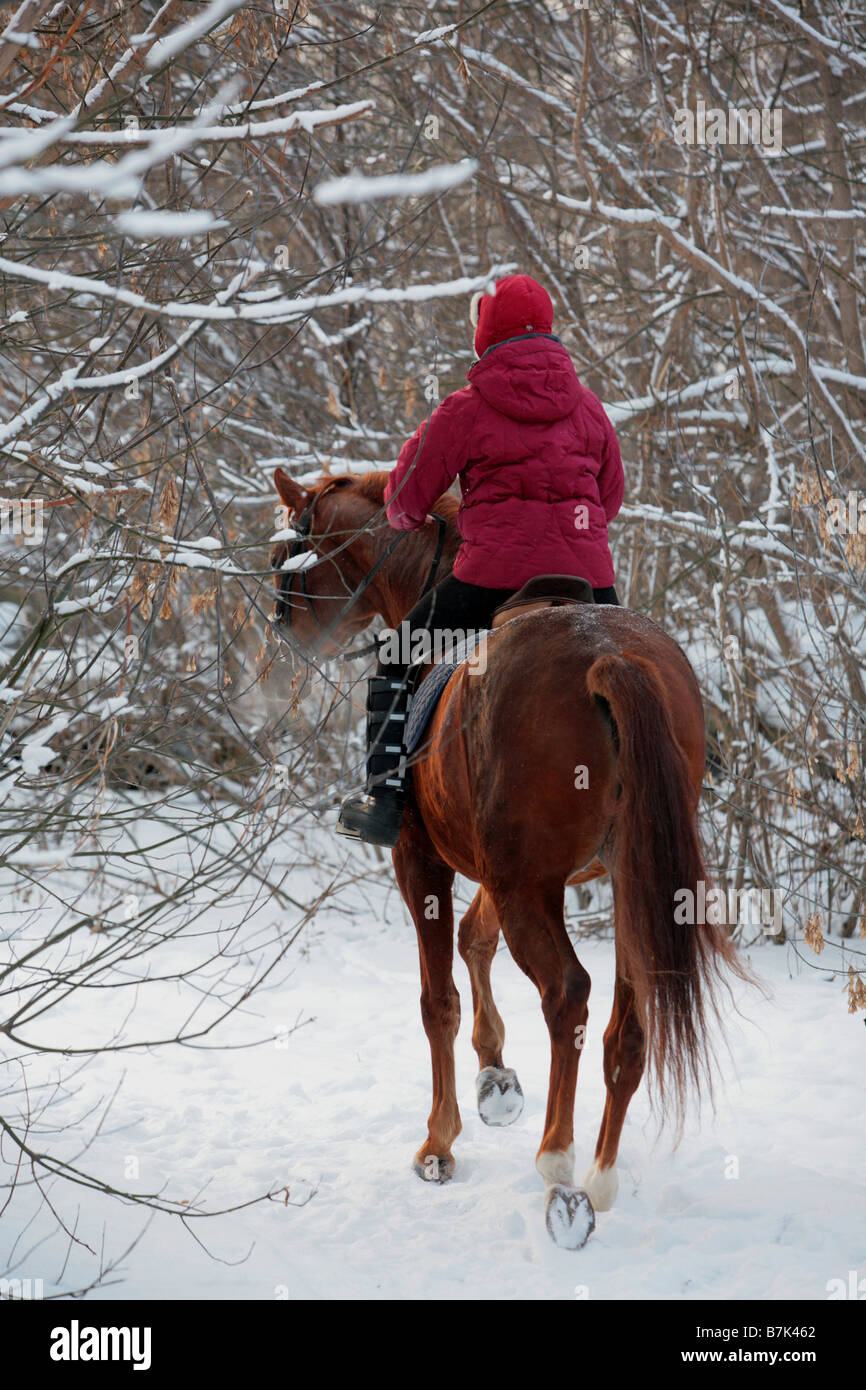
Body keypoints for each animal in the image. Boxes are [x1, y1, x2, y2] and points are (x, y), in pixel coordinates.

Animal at [271, 467, 745, 1251]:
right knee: (625, 1027)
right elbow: (475, 938)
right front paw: (495, 1078)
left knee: (568, 995)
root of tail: (608, 656)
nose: (283, 628)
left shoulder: (425, 859)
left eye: (293, 549)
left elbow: (437, 999)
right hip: (623, 886)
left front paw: (440, 1143)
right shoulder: (506, 868)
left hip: (528, 885)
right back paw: (599, 1174)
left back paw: (559, 1168)